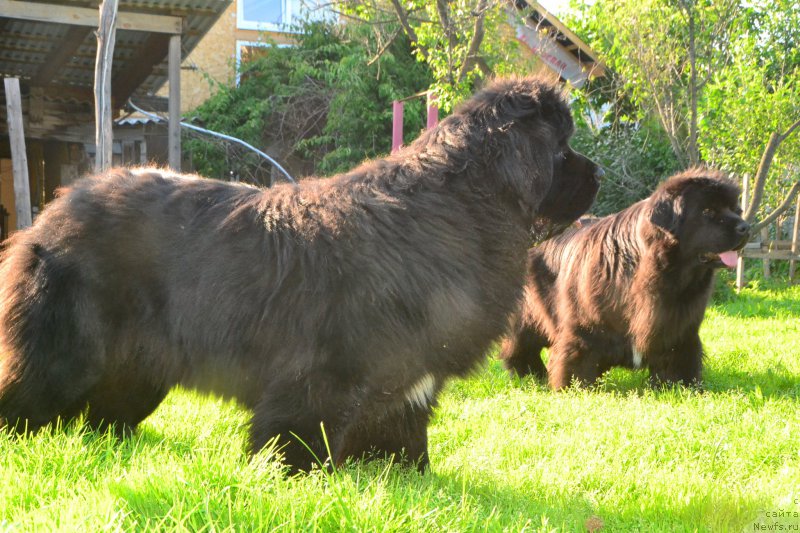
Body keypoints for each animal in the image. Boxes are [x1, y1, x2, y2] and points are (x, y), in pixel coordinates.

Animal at [0, 76, 600, 470]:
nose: (596, 173)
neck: (460, 206)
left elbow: (407, 447)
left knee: (99, 417)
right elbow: (297, 439)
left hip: (135, 371)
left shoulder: (407, 387)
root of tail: (56, 209)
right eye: (563, 149)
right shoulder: (321, 375)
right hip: (62, 357)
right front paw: (287, 478)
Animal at [500, 168, 752, 388]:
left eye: (735, 209)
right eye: (707, 211)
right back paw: (531, 374)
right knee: (519, 346)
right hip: (527, 316)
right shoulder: (583, 330)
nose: (745, 227)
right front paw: (573, 388)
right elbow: (576, 360)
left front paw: (681, 386)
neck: (660, 275)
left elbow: (679, 360)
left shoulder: (679, 331)